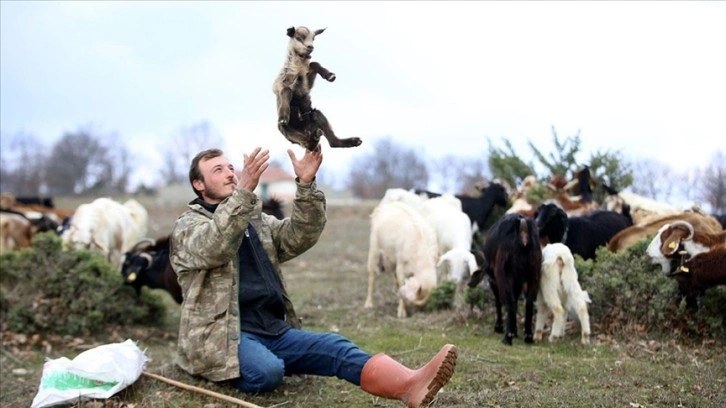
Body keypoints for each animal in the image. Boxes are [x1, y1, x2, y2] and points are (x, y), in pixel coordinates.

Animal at [470, 214, 544, 344]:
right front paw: (515, 331)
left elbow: (499, 300)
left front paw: (500, 327)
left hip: (505, 274)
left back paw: (507, 337)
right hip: (533, 274)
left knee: (509, 301)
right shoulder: (519, 280)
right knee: (528, 302)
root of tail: (523, 233)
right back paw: (528, 336)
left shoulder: (495, 280)